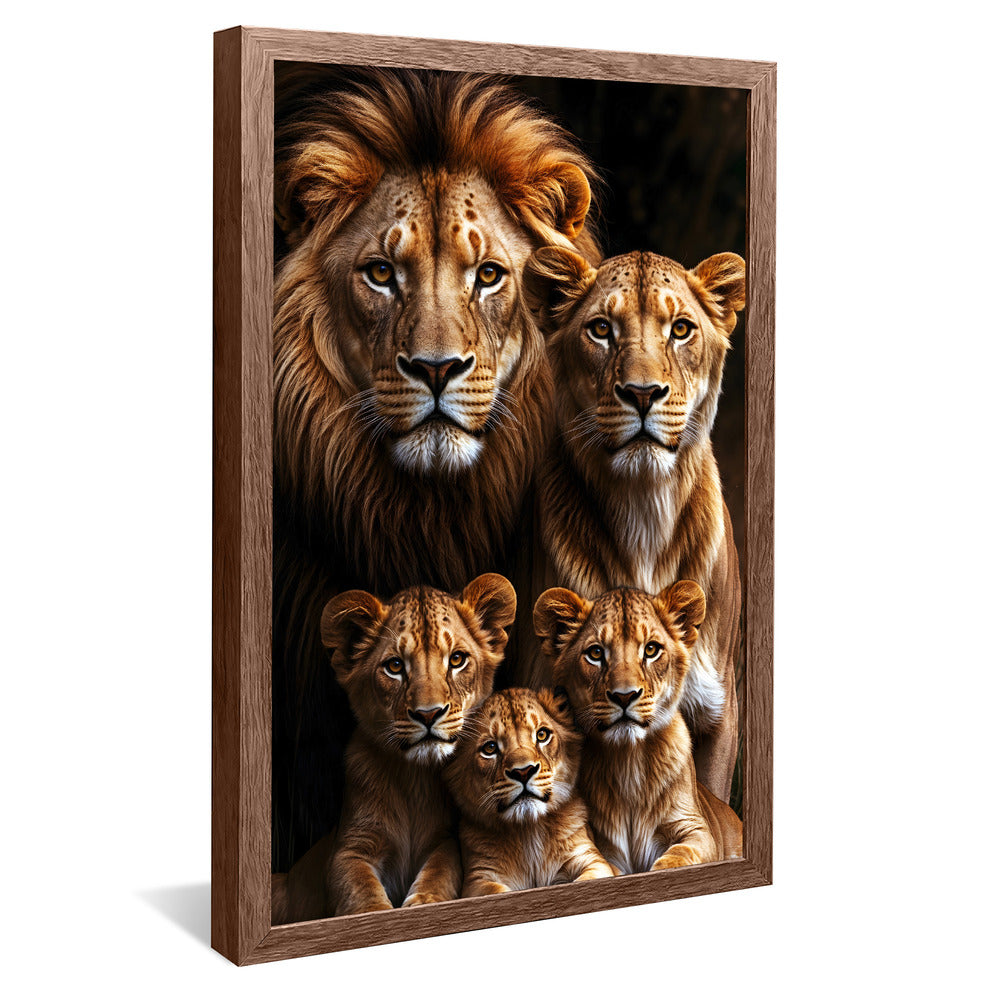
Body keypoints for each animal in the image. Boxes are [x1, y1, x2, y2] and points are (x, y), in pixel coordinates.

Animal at [272, 573, 516, 922]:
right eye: (395, 666)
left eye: (457, 659)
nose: (428, 714)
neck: (413, 779)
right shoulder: (350, 847)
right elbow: (357, 886)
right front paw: (374, 911)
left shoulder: (445, 839)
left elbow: (442, 869)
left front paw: (425, 901)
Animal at [445, 688, 613, 895]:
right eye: (490, 748)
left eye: (542, 735)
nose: (523, 772)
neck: (528, 831)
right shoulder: (478, 879)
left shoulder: (591, 859)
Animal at [534, 582, 742, 872]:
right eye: (596, 653)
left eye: (651, 650)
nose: (624, 696)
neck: (628, 760)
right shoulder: (598, 847)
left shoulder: (696, 828)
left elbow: (683, 852)